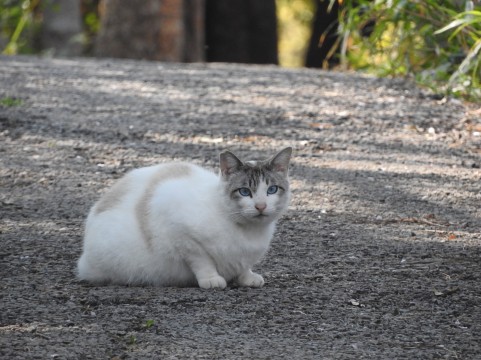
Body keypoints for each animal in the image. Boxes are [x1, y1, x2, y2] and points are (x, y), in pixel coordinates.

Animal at [77, 147, 290, 290]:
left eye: (271, 190)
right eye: (245, 192)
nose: (261, 206)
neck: (249, 232)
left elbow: (244, 266)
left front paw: (247, 278)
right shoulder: (181, 235)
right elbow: (202, 261)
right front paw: (211, 280)